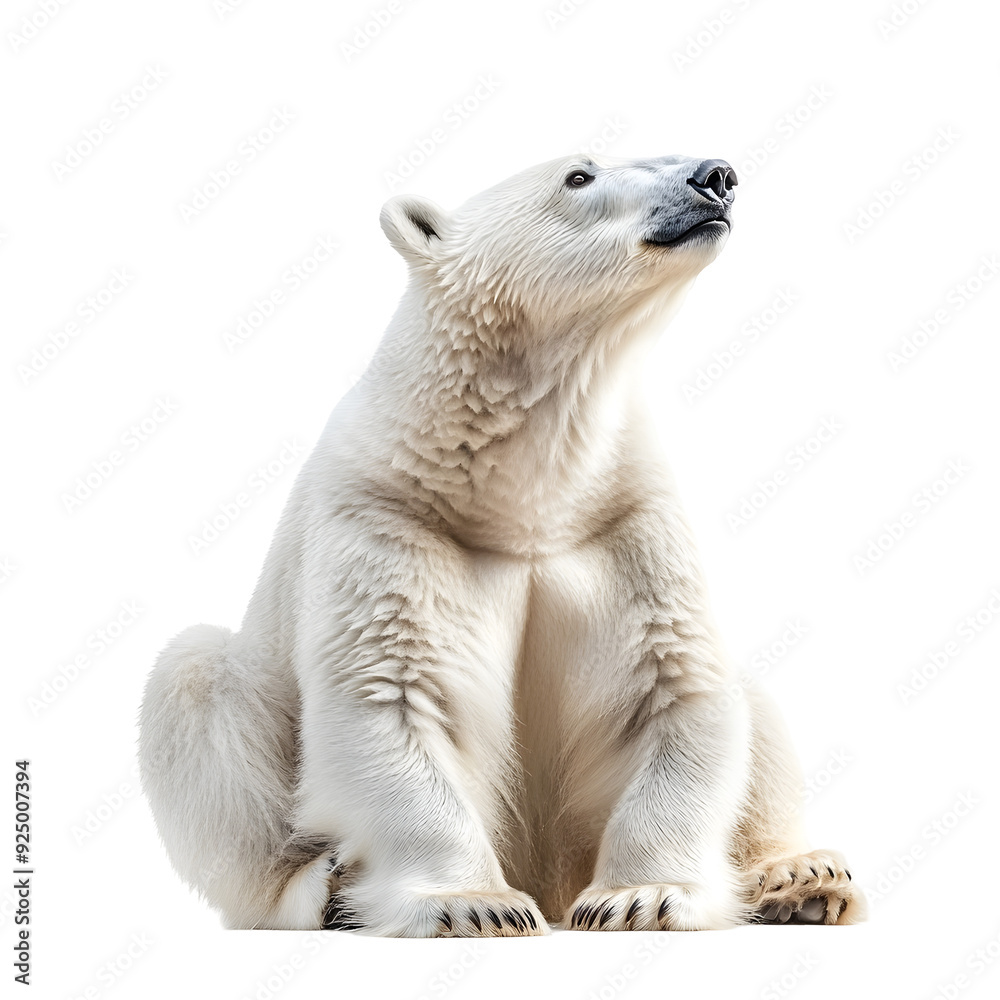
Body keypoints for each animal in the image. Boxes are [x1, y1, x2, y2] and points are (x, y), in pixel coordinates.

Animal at [138, 153, 865, 935]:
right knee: (195, 684)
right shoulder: (387, 513)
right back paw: (323, 887)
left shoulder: (625, 515)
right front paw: (473, 903)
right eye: (579, 174)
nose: (716, 174)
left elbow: (673, 686)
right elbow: (392, 693)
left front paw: (642, 896)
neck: (520, 493)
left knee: (753, 700)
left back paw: (800, 876)